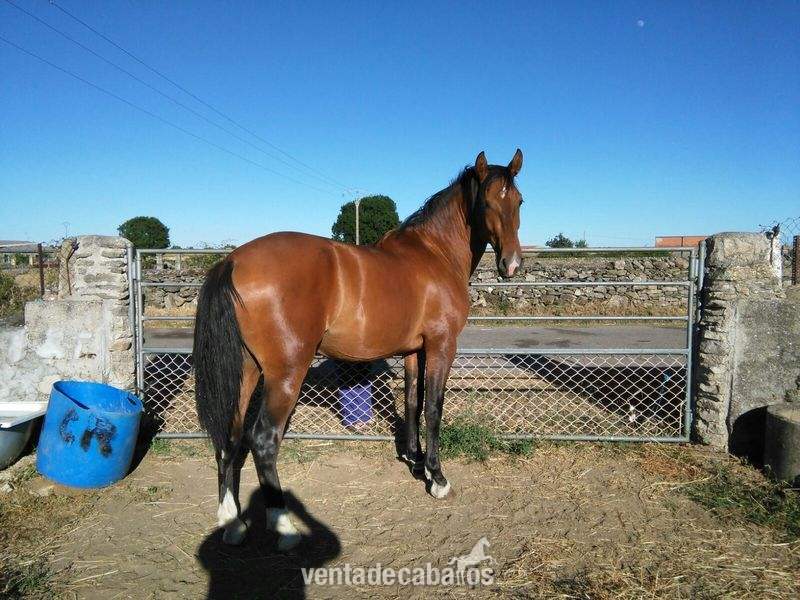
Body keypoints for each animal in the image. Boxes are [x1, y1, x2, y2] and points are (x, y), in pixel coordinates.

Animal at [193, 149, 525, 549]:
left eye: (519, 201)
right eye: (488, 202)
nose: (512, 265)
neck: (436, 255)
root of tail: (231, 261)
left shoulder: (413, 351)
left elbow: (412, 404)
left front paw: (415, 463)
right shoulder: (442, 346)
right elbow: (433, 409)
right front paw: (438, 479)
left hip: (245, 370)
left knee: (229, 436)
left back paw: (232, 523)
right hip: (284, 375)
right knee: (262, 440)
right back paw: (283, 526)